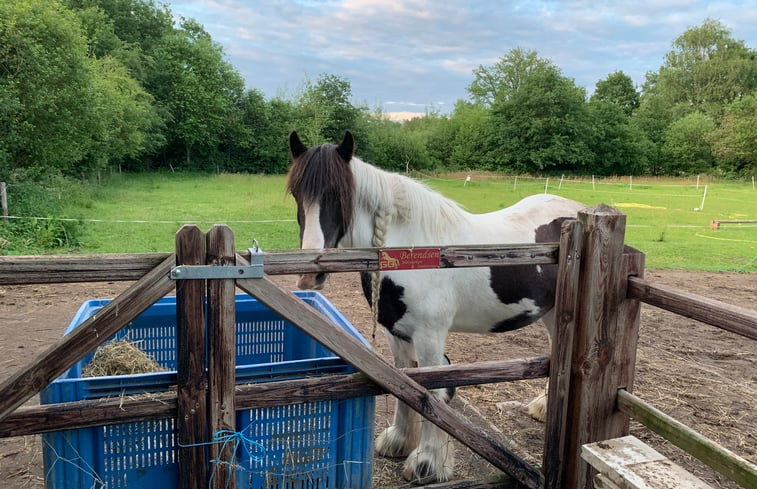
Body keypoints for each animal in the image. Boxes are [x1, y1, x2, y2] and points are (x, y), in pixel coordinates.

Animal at [284, 131, 584, 484]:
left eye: (339, 195)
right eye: (297, 194)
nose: (309, 274)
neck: (412, 250)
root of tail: (585, 213)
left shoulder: (429, 336)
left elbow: (431, 390)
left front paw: (427, 463)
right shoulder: (397, 334)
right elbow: (404, 381)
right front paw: (399, 441)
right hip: (550, 312)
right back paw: (543, 407)